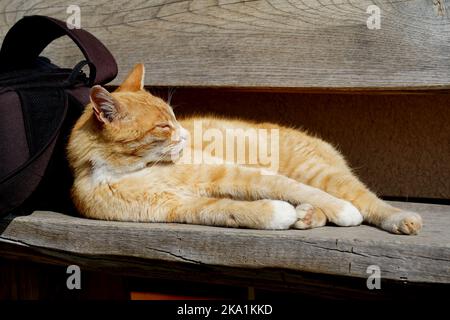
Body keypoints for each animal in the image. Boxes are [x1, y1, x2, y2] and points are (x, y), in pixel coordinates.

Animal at [67, 64, 422, 235]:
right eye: (164, 126)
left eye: (175, 118)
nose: (186, 135)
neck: (132, 171)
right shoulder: (179, 207)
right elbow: (227, 211)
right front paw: (276, 213)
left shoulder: (236, 173)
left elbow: (288, 187)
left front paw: (344, 211)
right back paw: (307, 215)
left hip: (318, 172)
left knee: (364, 198)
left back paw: (398, 218)